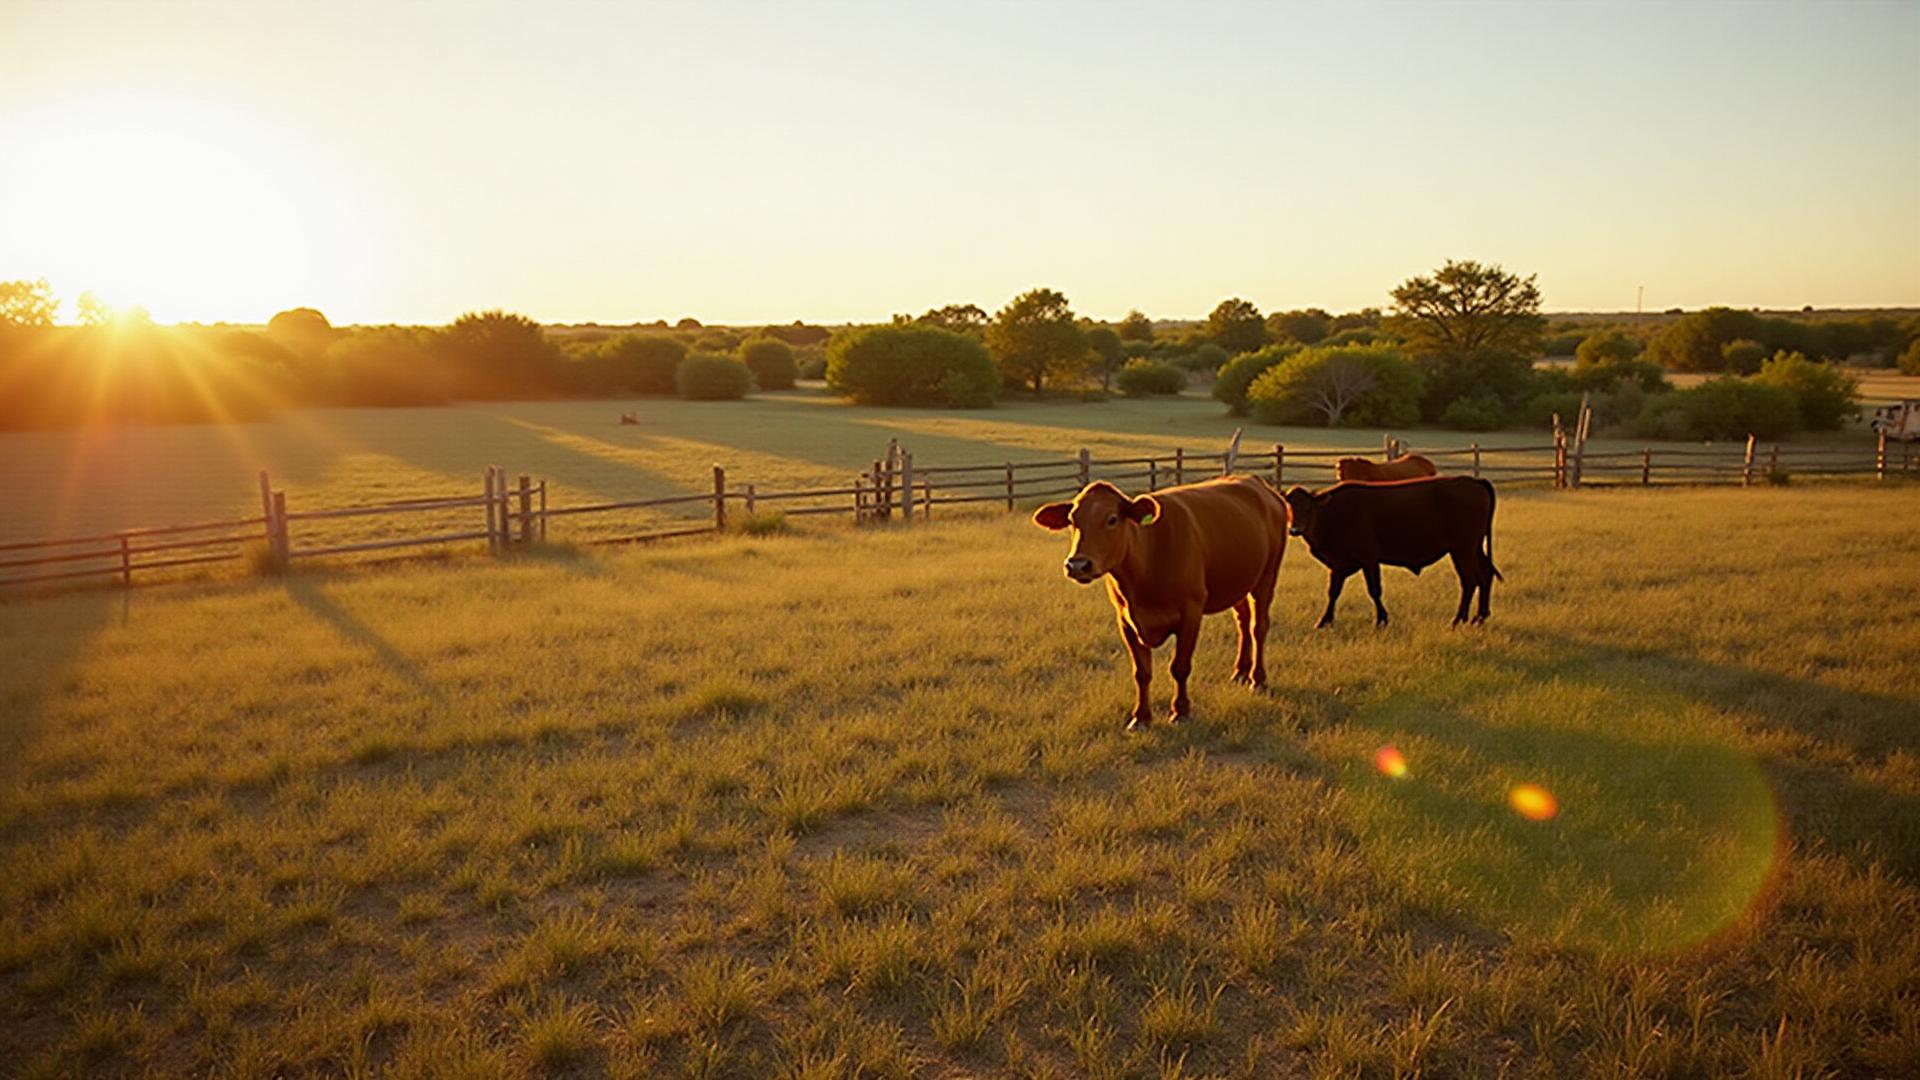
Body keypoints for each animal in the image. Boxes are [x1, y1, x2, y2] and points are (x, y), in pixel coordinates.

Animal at [1033, 476, 1289, 730]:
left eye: (1112, 519)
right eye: (1072, 520)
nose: (1077, 565)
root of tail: (1259, 484)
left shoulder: (1190, 613)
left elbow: (1180, 666)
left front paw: (1181, 711)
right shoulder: (1125, 620)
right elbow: (1142, 672)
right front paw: (1141, 717)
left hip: (1267, 577)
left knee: (1258, 627)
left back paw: (1257, 679)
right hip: (1239, 582)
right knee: (1243, 623)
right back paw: (1240, 672)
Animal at [1282, 476, 1500, 628]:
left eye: (1308, 508)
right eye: (1288, 507)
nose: (1295, 529)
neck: (1333, 513)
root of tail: (1472, 481)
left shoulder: (1368, 558)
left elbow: (1374, 590)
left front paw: (1381, 619)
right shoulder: (1339, 564)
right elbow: (1333, 592)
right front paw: (1324, 621)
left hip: (1463, 549)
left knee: (1469, 580)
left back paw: (1458, 619)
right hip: (1474, 548)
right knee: (1485, 574)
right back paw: (1479, 617)